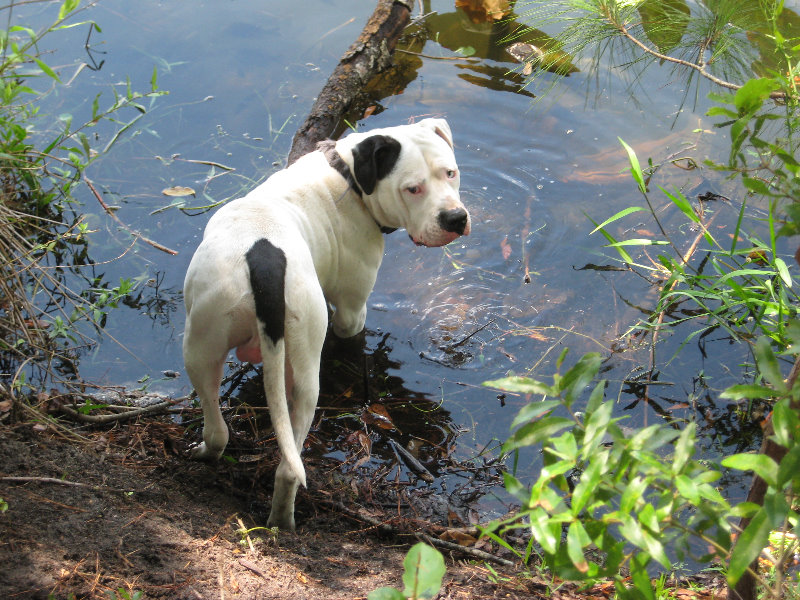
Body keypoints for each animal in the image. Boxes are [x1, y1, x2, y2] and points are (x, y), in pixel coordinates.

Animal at [183, 118, 468, 528]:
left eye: (451, 173)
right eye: (413, 188)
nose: (455, 218)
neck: (349, 176)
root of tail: (263, 258)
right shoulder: (352, 311)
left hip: (205, 345)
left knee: (222, 429)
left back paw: (209, 456)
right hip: (296, 359)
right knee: (289, 466)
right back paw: (282, 521)